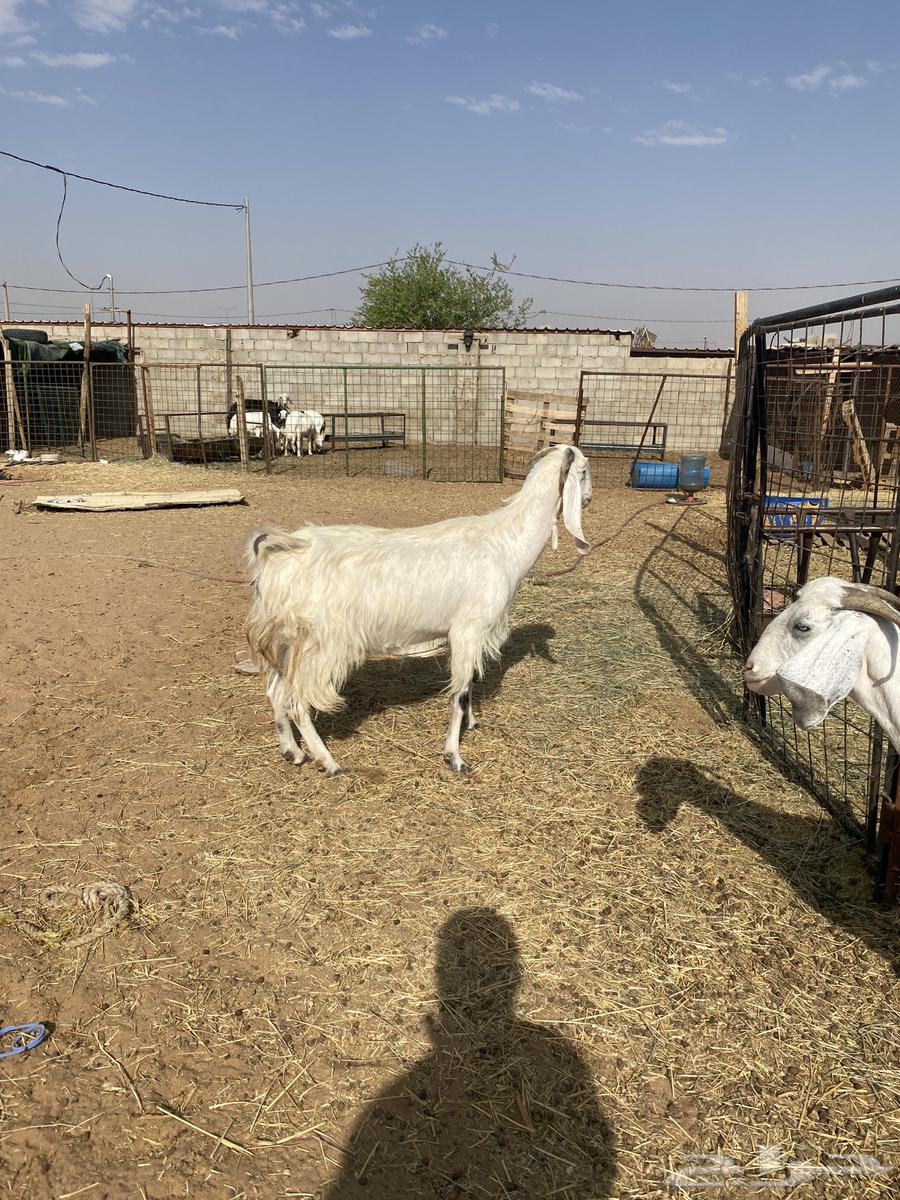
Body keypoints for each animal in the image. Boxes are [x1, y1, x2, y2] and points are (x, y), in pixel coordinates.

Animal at [244, 444, 592, 775]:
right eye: (585, 470)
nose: (588, 499)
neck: (505, 544)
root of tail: (277, 551)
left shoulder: (466, 635)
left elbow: (468, 682)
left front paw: (471, 723)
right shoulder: (469, 628)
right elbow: (460, 692)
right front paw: (455, 757)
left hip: (289, 640)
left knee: (276, 692)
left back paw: (293, 752)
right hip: (321, 643)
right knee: (296, 701)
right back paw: (327, 761)